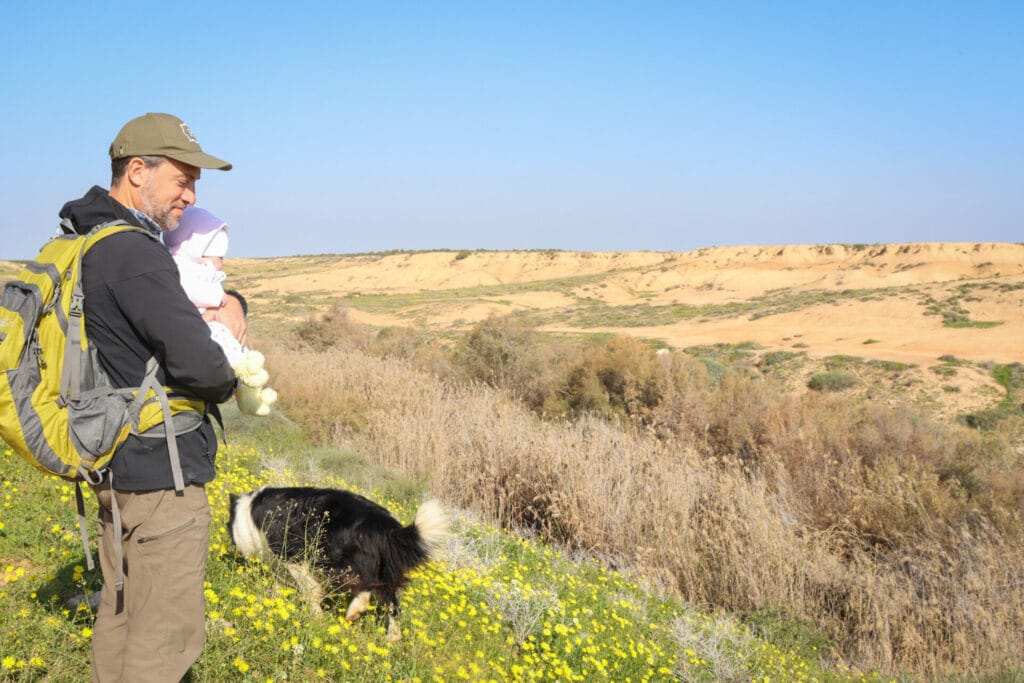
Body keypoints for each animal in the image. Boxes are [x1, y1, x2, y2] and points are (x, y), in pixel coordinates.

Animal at [230, 485, 446, 643]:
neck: (247, 514)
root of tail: (383, 525)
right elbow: (279, 585)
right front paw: (273, 603)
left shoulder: (292, 555)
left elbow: (309, 589)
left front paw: (316, 618)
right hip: (380, 567)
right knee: (391, 602)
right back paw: (391, 637)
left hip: (332, 557)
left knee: (364, 585)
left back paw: (354, 611)